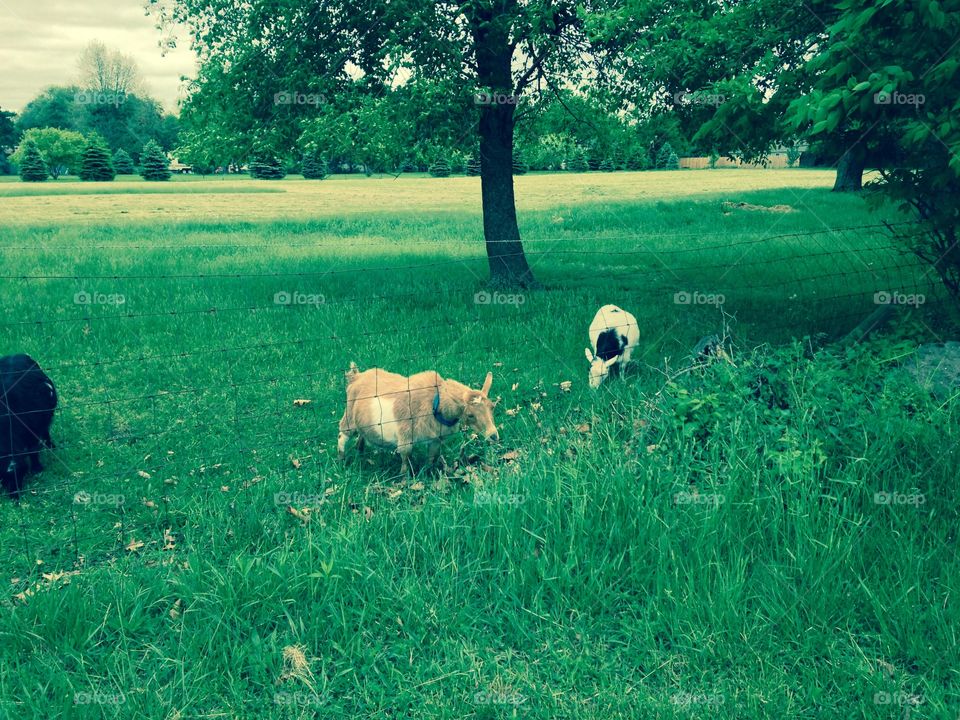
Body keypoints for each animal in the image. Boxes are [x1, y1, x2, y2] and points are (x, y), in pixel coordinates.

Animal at [1, 354, 58, 497]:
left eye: (21, 474)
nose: (14, 497)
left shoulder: (33, 430)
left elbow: (33, 450)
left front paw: (37, 468)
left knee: (46, 432)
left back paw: (51, 446)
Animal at [338, 362, 498, 475]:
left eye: (492, 407)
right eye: (470, 415)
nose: (494, 436)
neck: (435, 403)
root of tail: (356, 377)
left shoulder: (436, 439)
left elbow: (431, 458)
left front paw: (428, 473)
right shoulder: (405, 438)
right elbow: (405, 458)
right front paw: (404, 480)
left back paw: (360, 454)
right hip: (349, 415)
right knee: (342, 434)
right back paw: (342, 461)